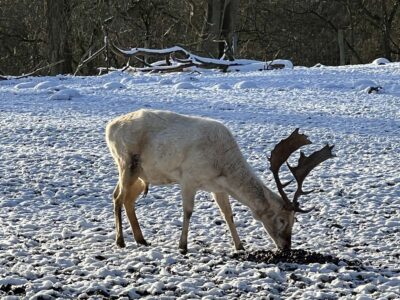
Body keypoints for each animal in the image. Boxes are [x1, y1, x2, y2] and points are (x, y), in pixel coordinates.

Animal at [104, 109, 332, 252]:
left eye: (295, 221)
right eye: (282, 219)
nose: (286, 247)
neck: (221, 168)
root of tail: (109, 127)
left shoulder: (217, 187)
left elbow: (228, 214)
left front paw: (240, 246)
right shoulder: (188, 178)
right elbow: (188, 211)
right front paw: (182, 246)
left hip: (143, 174)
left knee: (126, 199)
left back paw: (141, 239)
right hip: (126, 162)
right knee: (117, 197)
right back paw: (120, 241)